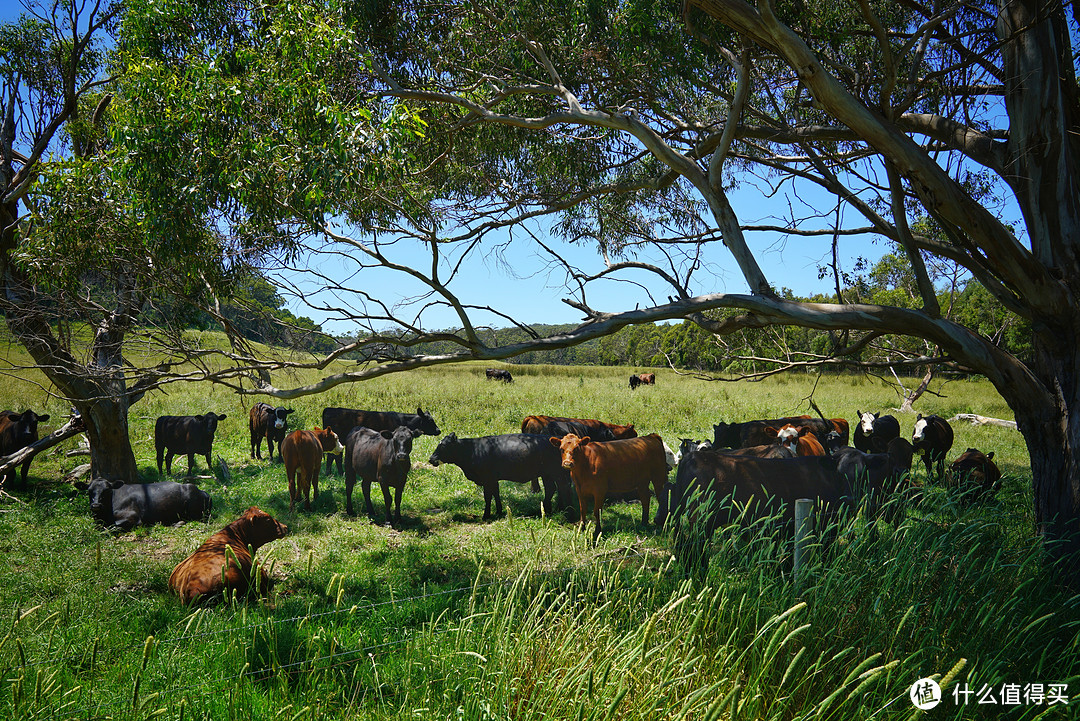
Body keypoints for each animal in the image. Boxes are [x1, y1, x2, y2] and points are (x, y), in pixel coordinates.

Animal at [427, 433, 574, 518]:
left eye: (443, 446)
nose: (431, 459)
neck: (473, 450)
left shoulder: (487, 479)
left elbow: (487, 497)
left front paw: (486, 515)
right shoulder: (493, 479)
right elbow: (495, 494)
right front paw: (498, 511)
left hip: (556, 472)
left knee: (563, 488)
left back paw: (565, 510)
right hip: (547, 474)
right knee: (551, 489)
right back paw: (549, 509)